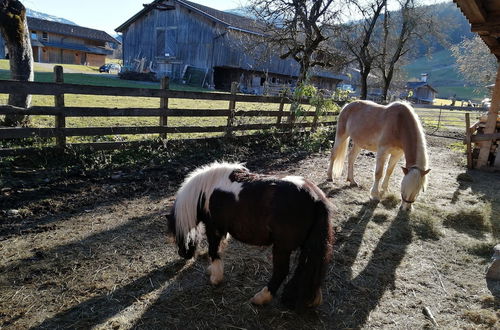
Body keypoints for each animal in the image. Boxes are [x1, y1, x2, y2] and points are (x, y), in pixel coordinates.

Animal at [166, 161, 334, 310]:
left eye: (174, 233)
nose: (183, 254)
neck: (206, 191)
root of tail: (316, 198)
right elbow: (219, 249)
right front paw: (211, 270)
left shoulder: (213, 229)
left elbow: (213, 251)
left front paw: (215, 278)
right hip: (308, 245)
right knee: (310, 268)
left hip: (282, 247)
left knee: (281, 272)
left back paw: (261, 298)